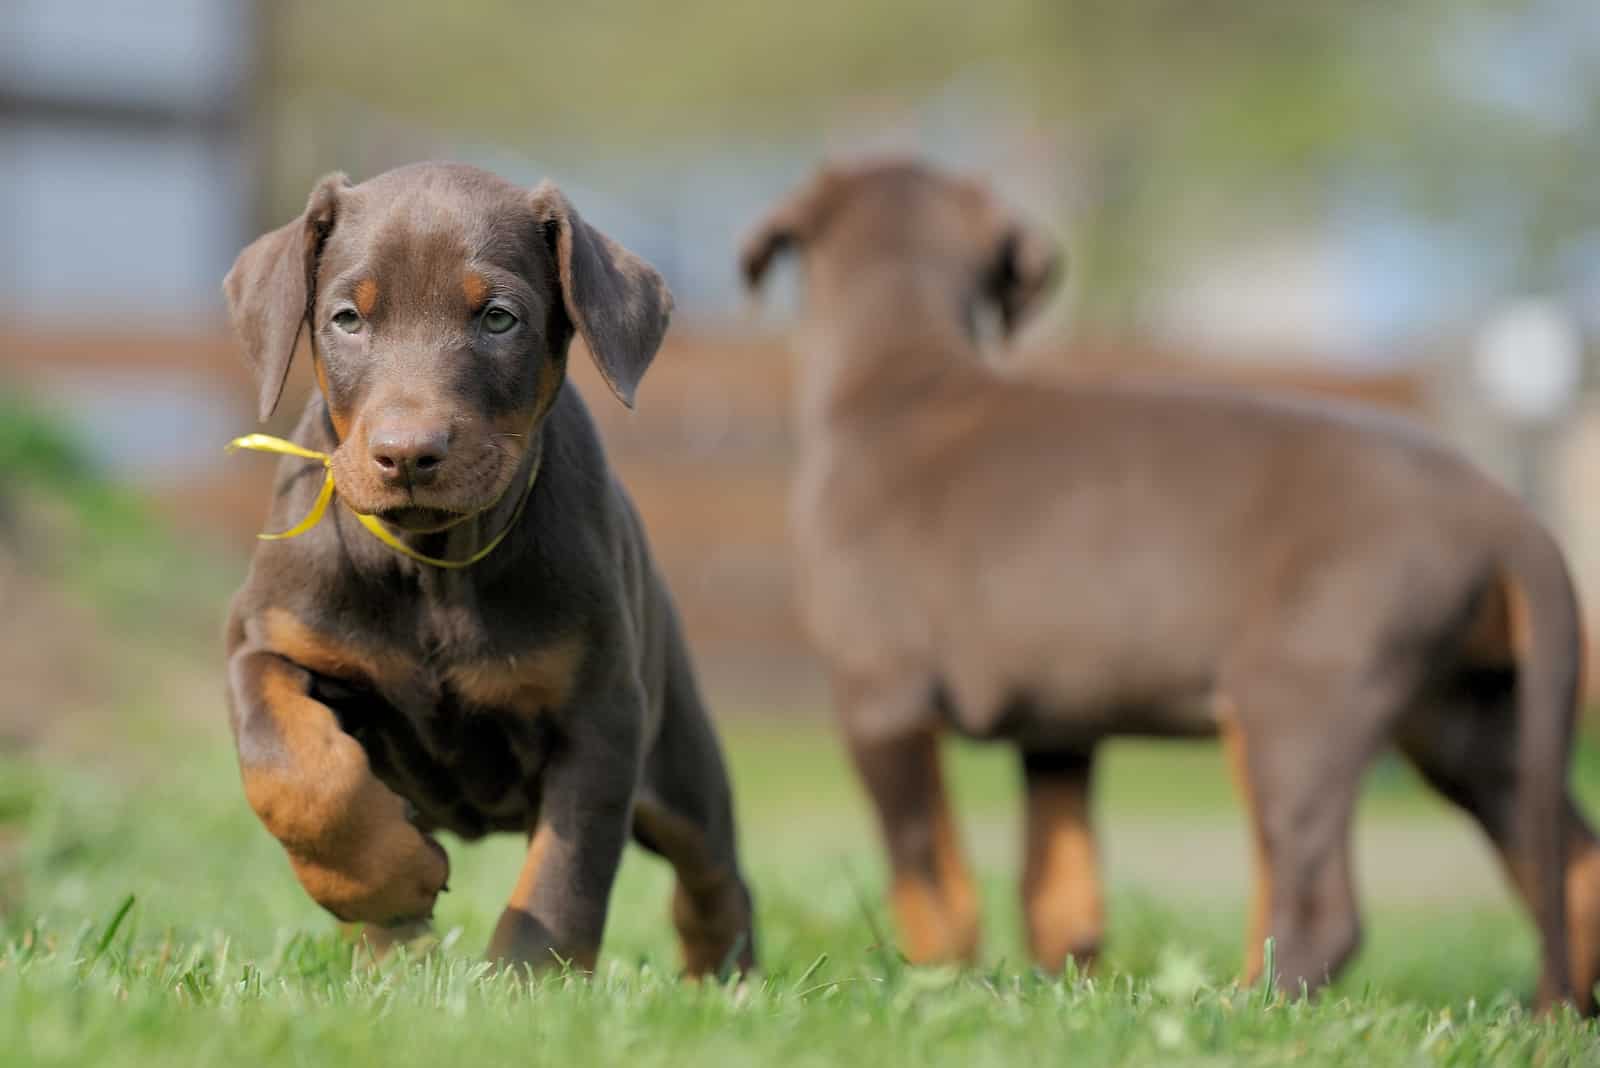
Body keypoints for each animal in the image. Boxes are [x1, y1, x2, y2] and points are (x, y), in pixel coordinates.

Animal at [220, 160, 761, 978]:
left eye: (499, 319)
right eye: (346, 318)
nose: (407, 454)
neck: (434, 563)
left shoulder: (600, 712)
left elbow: (563, 878)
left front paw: (527, 983)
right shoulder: (269, 640)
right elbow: (290, 766)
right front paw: (389, 880)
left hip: (679, 756)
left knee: (714, 875)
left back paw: (722, 977)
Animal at [745, 158, 1600, 1010]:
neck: (901, 373)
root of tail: (1505, 515)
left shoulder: (882, 699)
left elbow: (927, 878)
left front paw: (932, 988)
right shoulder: (1060, 723)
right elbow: (1061, 889)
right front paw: (1059, 998)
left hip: (1295, 706)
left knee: (1320, 906)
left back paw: (1243, 1007)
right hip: (1475, 721)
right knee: (1573, 866)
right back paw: (1555, 1014)